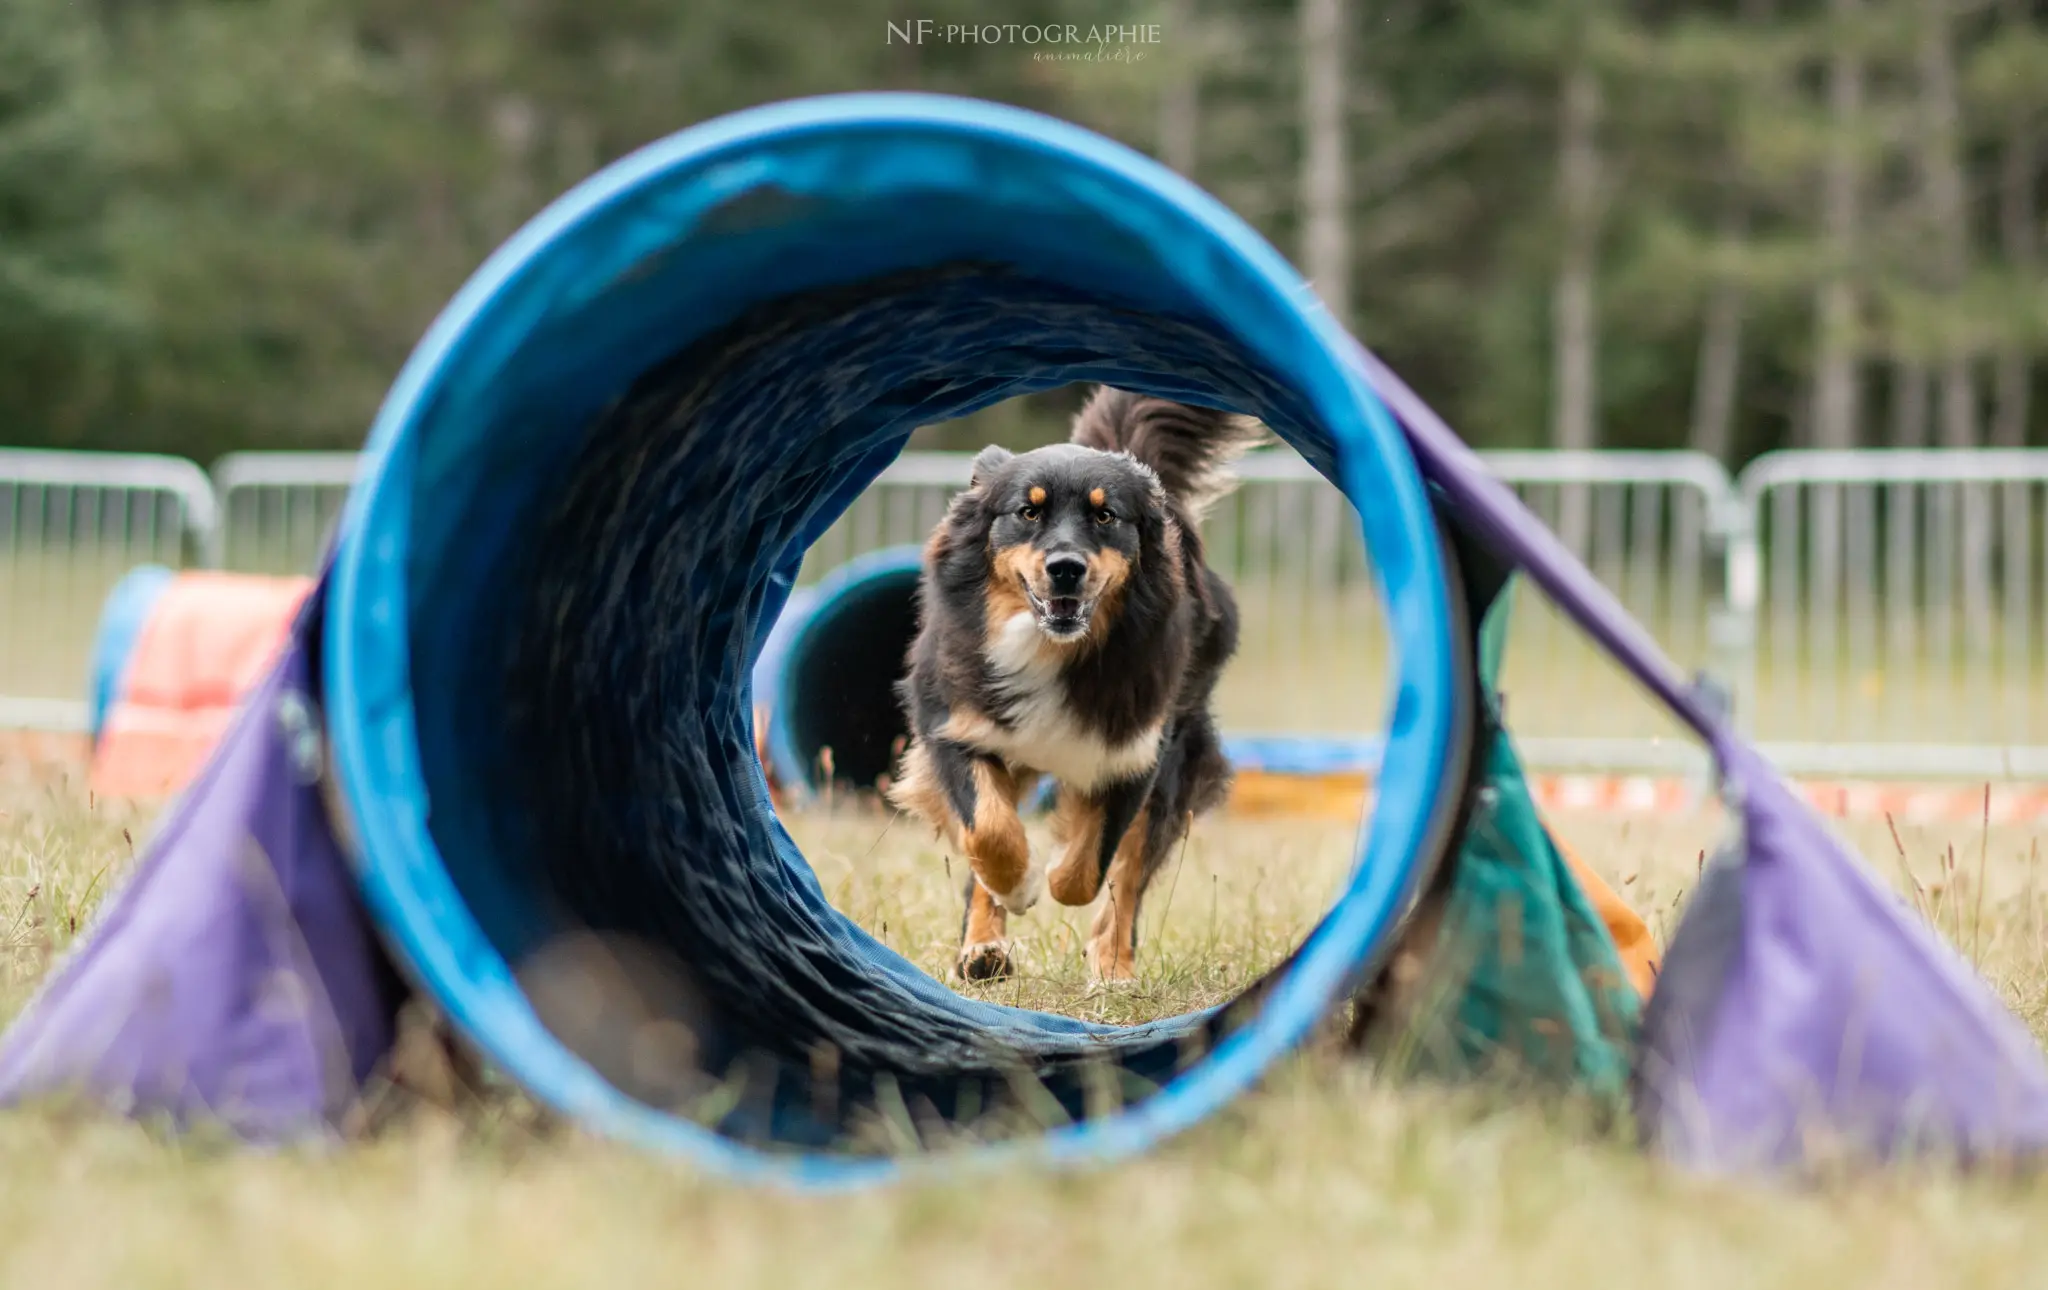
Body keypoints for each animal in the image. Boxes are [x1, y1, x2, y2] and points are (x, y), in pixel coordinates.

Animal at [884, 389, 1253, 986]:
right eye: (1028, 511)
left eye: (1106, 515)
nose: (1065, 568)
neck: (1052, 649)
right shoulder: (954, 724)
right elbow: (988, 831)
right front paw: (1018, 888)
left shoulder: (1136, 753)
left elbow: (1090, 867)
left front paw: (1053, 872)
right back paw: (983, 951)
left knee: (1129, 875)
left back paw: (1112, 966)